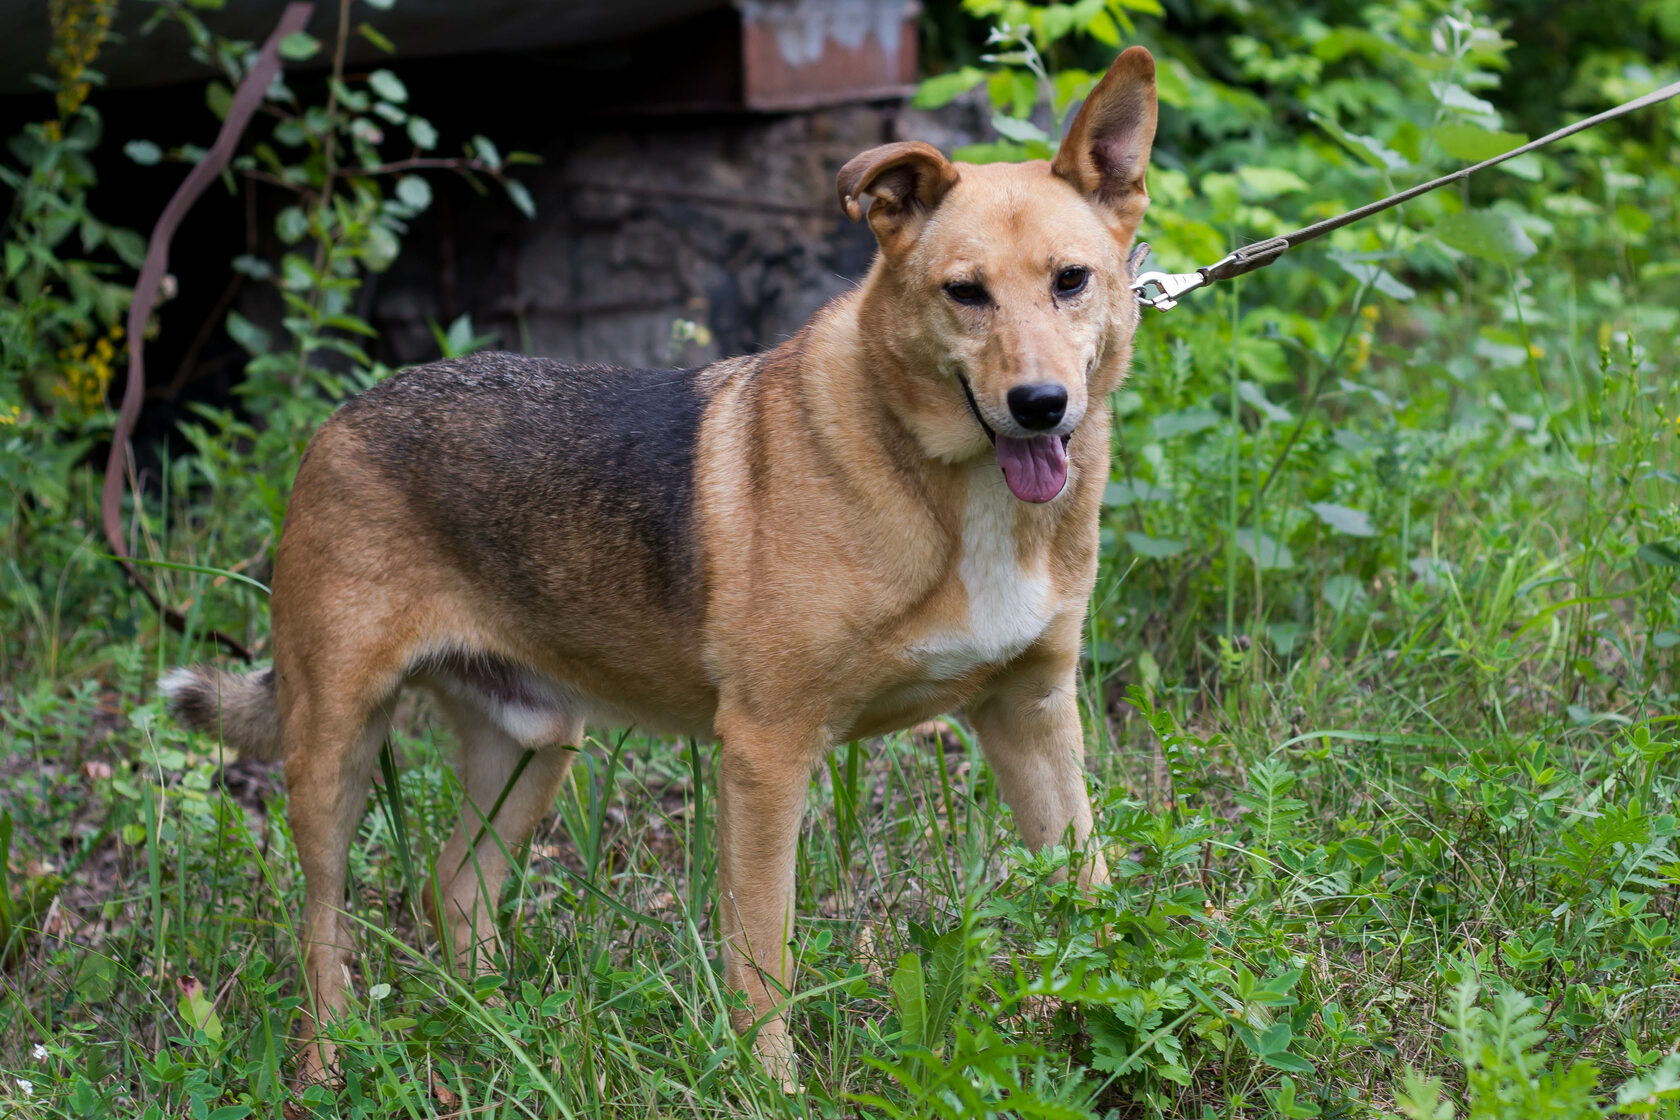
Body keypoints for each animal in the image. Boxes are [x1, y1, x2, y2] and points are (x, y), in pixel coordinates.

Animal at [163, 48, 1162, 1088]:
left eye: (1072, 281)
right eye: (966, 293)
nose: (1041, 405)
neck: (951, 490)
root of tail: (343, 417)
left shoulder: (1031, 715)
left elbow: (1091, 890)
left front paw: (1117, 1022)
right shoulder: (766, 751)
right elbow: (762, 959)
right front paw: (773, 1091)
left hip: (535, 748)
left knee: (454, 884)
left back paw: (501, 1031)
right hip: (336, 753)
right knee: (323, 927)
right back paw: (329, 1067)